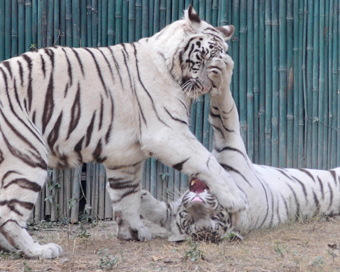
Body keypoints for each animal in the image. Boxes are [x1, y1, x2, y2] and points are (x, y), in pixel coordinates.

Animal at [0, 5, 247, 258]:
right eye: (207, 56)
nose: (211, 85)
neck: (169, 65)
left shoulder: (124, 155)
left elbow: (127, 194)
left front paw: (134, 232)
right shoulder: (167, 131)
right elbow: (207, 162)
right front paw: (236, 198)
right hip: (28, 153)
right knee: (8, 216)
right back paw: (38, 250)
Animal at [140, 44, 340, 242]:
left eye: (216, 216)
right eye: (190, 219)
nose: (196, 202)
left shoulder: (230, 143)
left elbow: (224, 110)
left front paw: (221, 72)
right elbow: (162, 211)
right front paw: (142, 196)